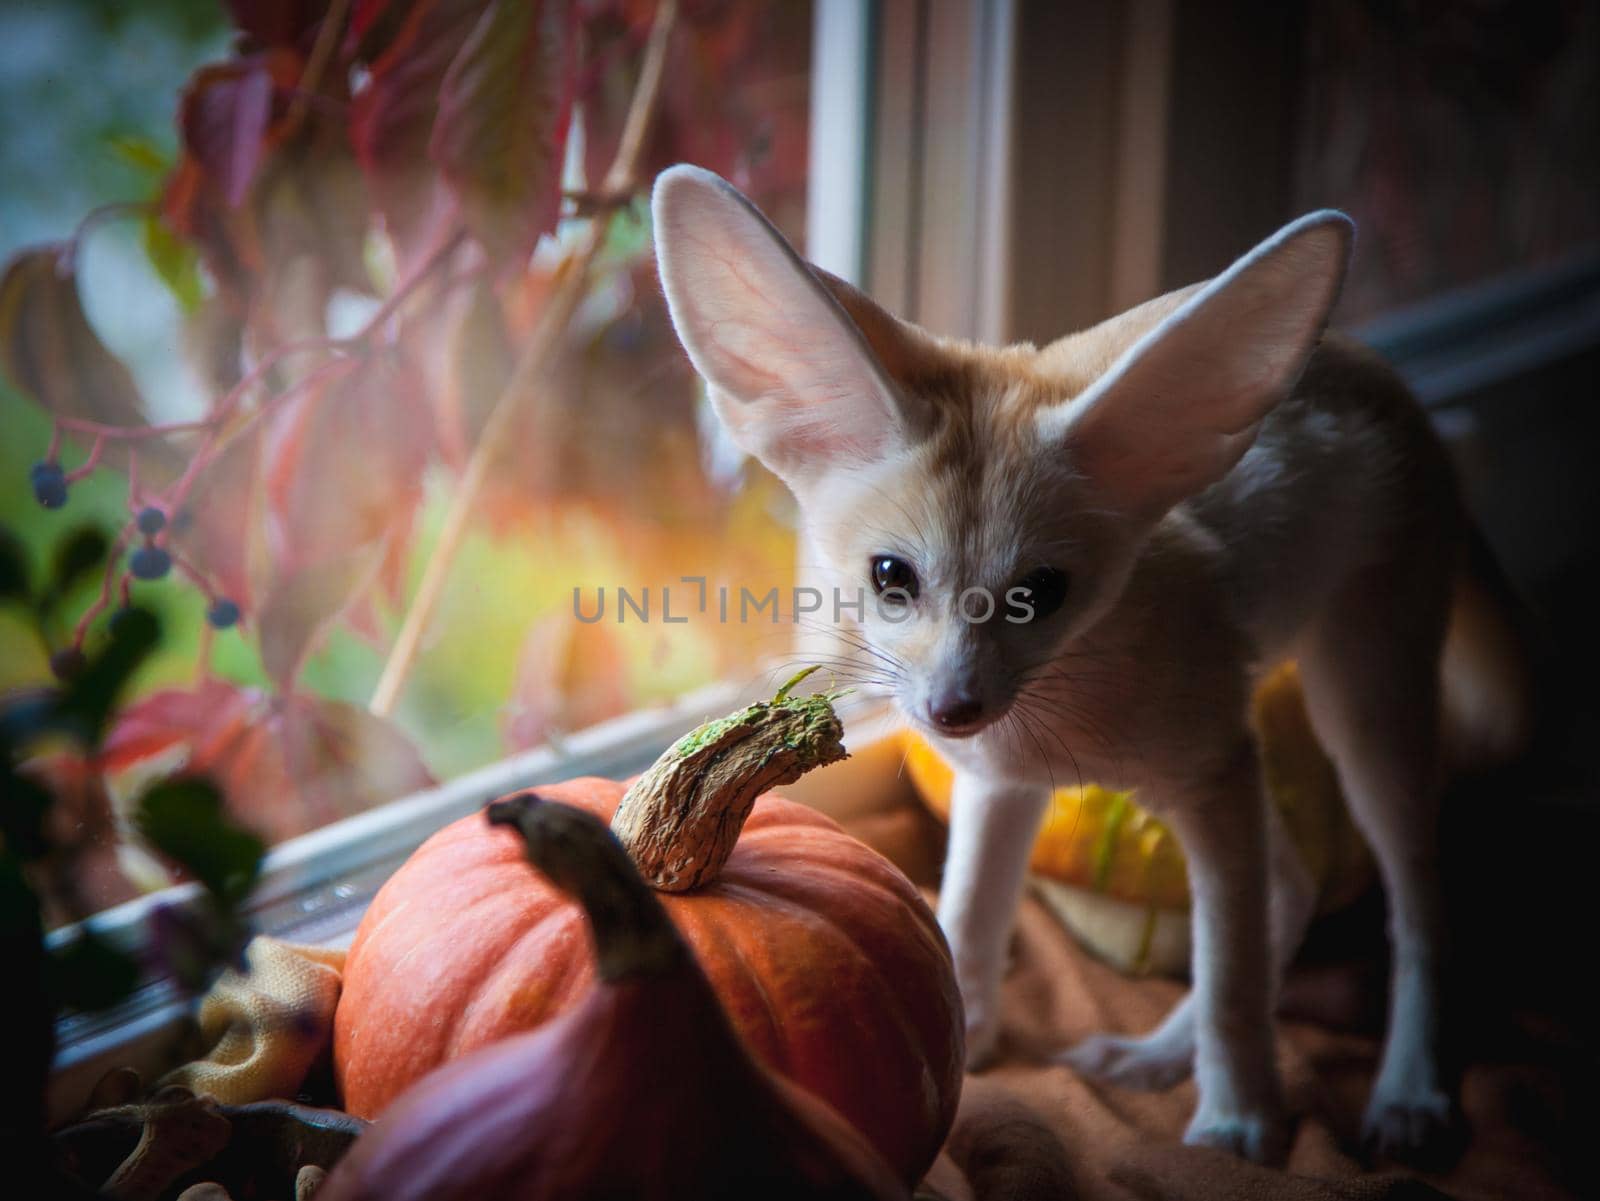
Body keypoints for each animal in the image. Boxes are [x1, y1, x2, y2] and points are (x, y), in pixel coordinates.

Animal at [656, 164, 1529, 1170]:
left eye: (1039, 592)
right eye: (890, 577)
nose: (951, 710)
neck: (1061, 715)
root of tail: (1379, 368)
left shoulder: (1215, 769)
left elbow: (1230, 973)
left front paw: (1240, 1118)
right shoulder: (1006, 783)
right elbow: (973, 917)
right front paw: (968, 1032)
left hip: (1365, 698)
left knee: (1415, 900)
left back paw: (1407, 1089)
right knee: (1295, 884)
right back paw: (1159, 1053)